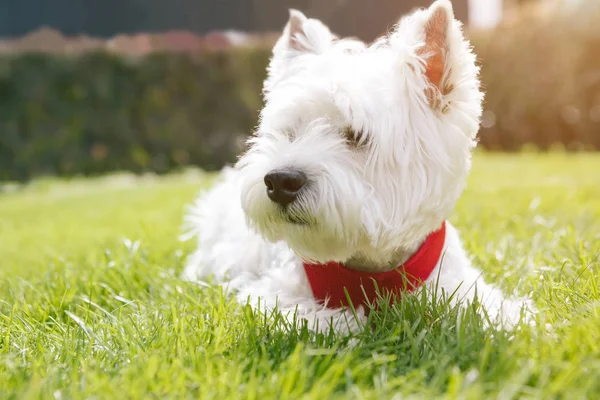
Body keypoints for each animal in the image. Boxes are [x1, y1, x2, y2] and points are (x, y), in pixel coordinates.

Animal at [179, 0, 536, 334]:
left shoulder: (453, 282)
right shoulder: (275, 291)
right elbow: (308, 315)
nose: (279, 181)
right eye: (290, 132)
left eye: (356, 135)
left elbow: (483, 308)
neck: (370, 267)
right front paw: (347, 323)